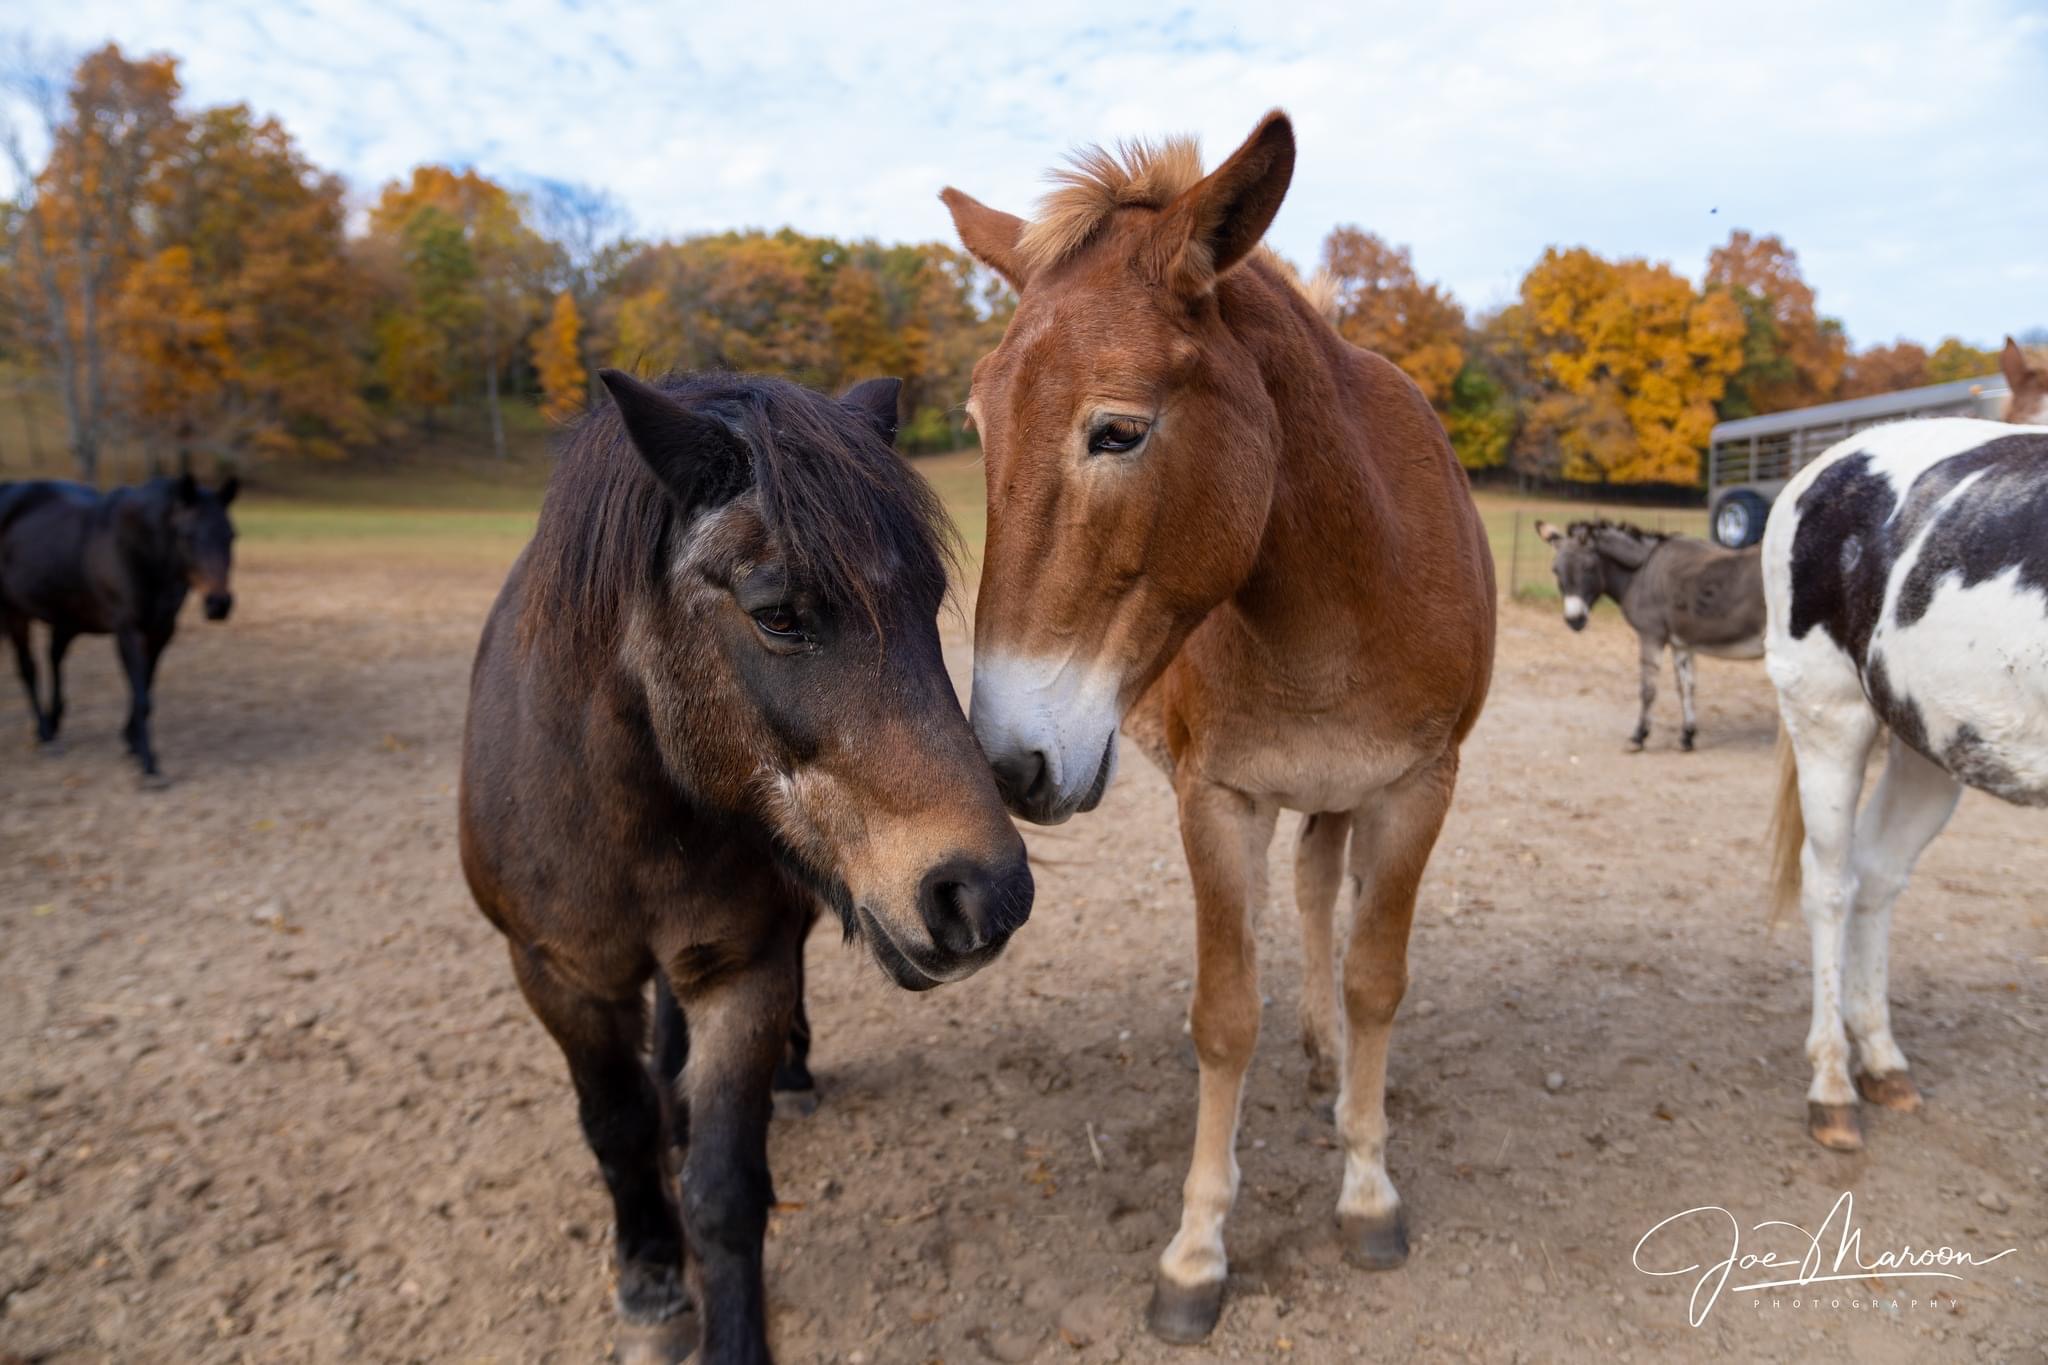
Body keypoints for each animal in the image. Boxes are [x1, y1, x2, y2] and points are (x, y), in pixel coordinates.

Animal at [1, 472, 237, 777]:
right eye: (188, 535)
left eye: (231, 535)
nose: (219, 604)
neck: (138, 549)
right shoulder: (128, 631)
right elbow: (141, 696)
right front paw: (148, 763)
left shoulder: (161, 630)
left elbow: (145, 689)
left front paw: (131, 741)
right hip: (15, 611)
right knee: (28, 669)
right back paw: (46, 735)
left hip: (66, 615)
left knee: (54, 657)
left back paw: (53, 723)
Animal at [468, 370, 1040, 1365]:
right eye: (777, 615)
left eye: (930, 597)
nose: (986, 893)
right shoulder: (557, 975)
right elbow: (616, 1127)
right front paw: (651, 1273)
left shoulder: (744, 969)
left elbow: (726, 1188)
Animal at [937, 114, 1490, 1342]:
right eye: (979, 424)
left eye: (1117, 431)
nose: (1005, 763)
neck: (1342, 587)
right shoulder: (1217, 800)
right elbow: (1225, 1016)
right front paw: (1195, 1255)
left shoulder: (1415, 790)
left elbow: (1378, 979)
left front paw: (1367, 1192)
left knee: (1324, 900)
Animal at [1761, 417, 2048, 1154]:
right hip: (1828, 711)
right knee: (1831, 884)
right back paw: (1833, 1084)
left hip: (1934, 740)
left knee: (1878, 873)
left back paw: (1881, 1058)